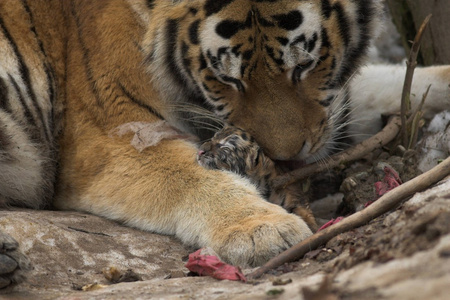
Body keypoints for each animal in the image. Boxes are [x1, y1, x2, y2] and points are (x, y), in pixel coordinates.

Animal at [0, 0, 448, 288]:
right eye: (228, 78)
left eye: (305, 64)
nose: (285, 158)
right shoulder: (114, 135)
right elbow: (185, 175)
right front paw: (261, 230)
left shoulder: (333, 104)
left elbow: (389, 85)